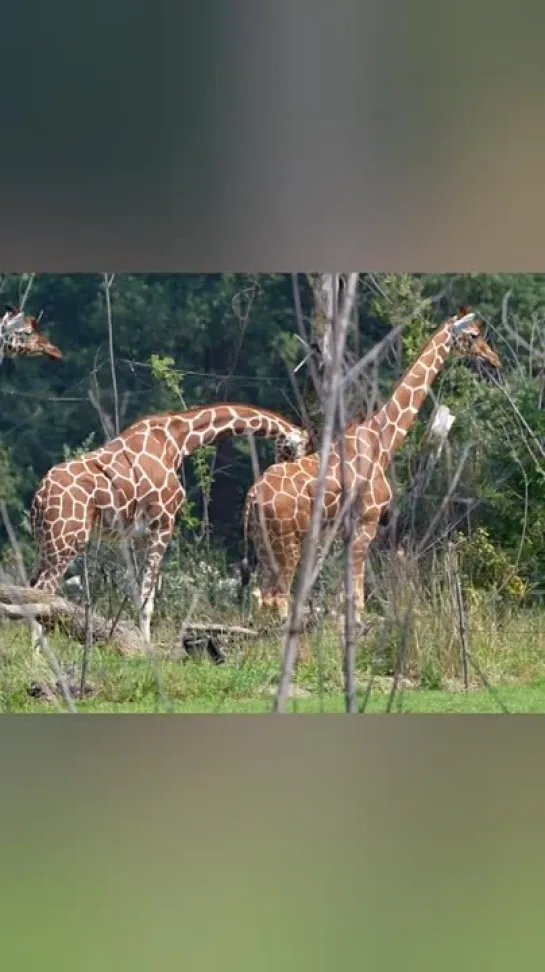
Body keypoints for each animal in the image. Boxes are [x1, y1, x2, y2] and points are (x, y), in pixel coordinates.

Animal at [27, 398, 314, 640]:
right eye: (293, 448)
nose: (289, 467)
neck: (177, 439)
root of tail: (40, 496)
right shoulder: (164, 523)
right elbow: (148, 598)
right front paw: (147, 648)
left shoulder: (138, 534)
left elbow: (138, 593)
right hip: (67, 540)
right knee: (42, 590)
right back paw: (37, 655)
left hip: (45, 542)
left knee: (31, 586)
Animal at [240, 308, 504, 620]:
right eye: (474, 335)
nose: (494, 360)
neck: (383, 440)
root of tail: (253, 496)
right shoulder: (366, 523)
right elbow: (355, 598)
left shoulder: (347, 532)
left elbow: (344, 598)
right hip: (286, 540)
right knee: (277, 597)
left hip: (263, 543)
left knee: (260, 597)